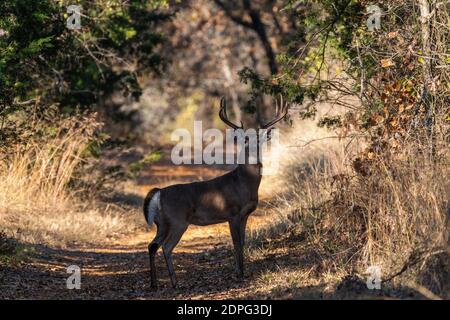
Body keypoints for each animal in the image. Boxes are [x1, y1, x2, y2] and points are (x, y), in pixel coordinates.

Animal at [142, 95, 290, 290]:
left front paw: (241, 271)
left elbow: (243, 242)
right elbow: (236, 243)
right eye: (245, 140)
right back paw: (175, 283)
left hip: (162, 223)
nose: (253, 152)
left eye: (260, 140)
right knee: (166, 247)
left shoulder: (245, 215)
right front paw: (240, 274)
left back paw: (154, 283)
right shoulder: (232, 213)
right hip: (177, 220)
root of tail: (159, 192)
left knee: (152, 245)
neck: (243, 184)